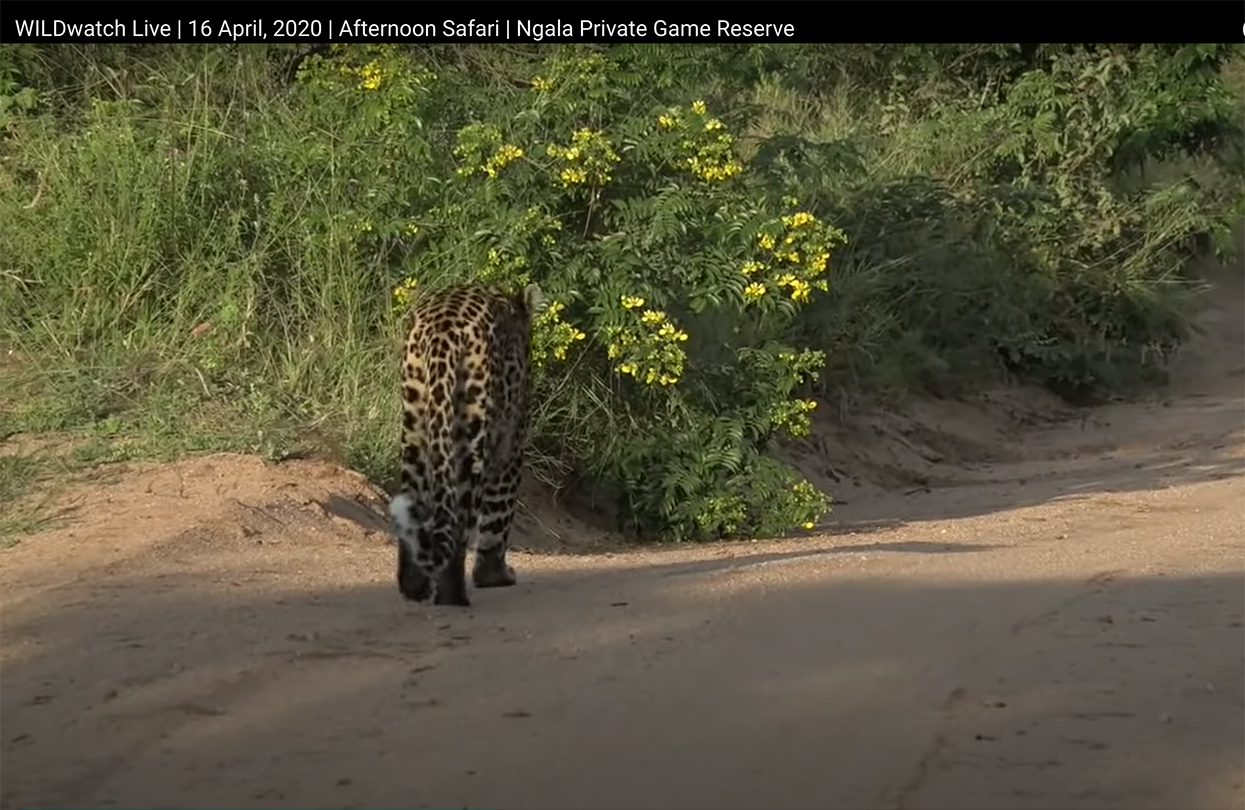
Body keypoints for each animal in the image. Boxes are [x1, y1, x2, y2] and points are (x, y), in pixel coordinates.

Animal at [388, 282, 545, 604]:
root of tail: (441, 331)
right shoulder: (510, 447)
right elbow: (498, 517)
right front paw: (494, 576)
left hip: (414, 420)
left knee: (415, 502)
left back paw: (415, 587)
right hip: (473, 432)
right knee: (461, 521)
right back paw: (453, 596)